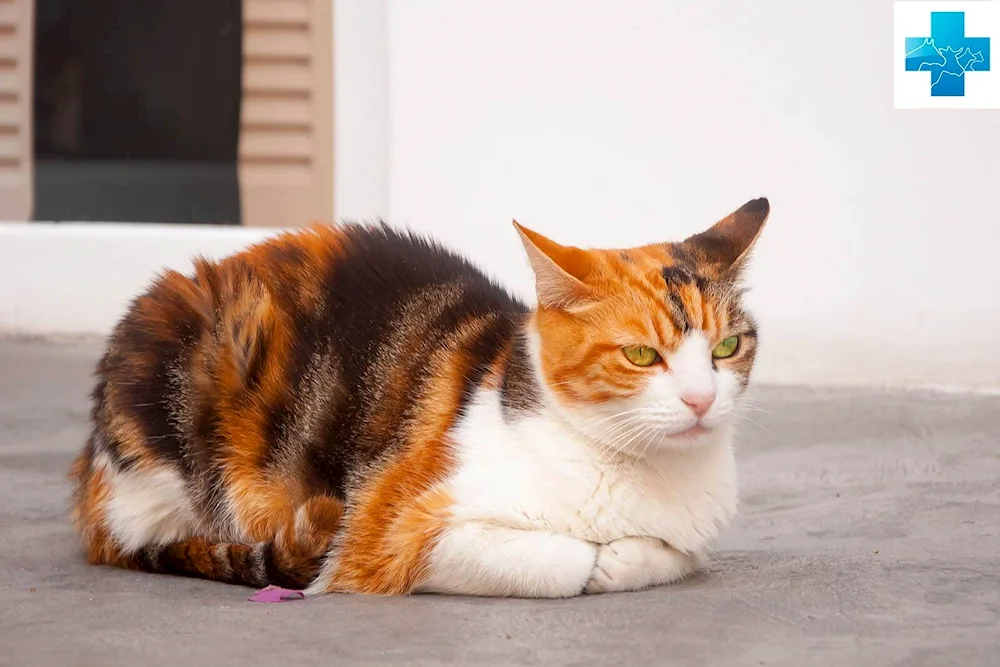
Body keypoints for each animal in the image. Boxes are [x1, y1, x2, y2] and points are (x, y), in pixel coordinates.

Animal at [70, 196, 772, 596]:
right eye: (642, 355)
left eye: (727, 347)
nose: (702, 400)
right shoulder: (393, 531)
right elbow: (565, 565)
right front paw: (602, 561)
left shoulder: (694, 532)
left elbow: (679, 554)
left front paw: (632, 556)